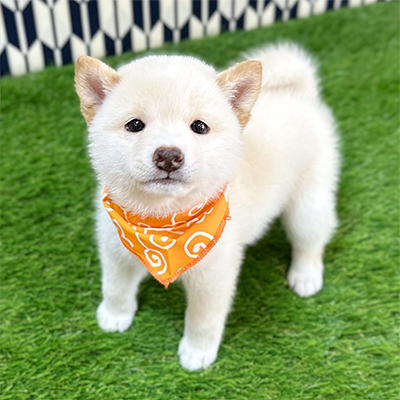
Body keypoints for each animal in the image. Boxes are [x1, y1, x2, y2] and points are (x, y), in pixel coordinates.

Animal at [75, 43, 339, 371]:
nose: (168, 155)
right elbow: (115, 286)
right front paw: (114, 315)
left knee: (311, 240)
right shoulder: (115, 250)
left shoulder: (213, 277)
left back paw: (306, 275)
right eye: (135, 125)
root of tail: (300, 95)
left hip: (307, 203)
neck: (162, 223)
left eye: (199, 127)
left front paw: (197, 352)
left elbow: (202, 319)